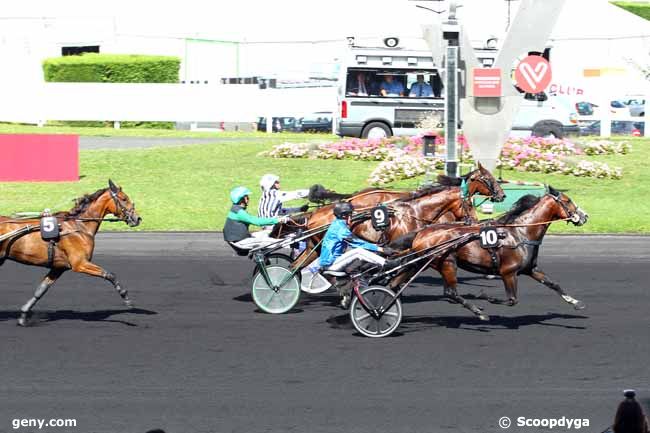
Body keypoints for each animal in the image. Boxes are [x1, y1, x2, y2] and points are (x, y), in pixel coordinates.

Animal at [0, 178, 142, 324]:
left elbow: (41, 290)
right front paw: (126, 299)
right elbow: (110, 274)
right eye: (124, 198)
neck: (79, 226)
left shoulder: (58, 268)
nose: (137, 219)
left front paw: (23, 315)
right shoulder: (80, 264)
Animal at [400, 184, 588, 318]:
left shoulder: (530, 269)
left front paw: (576, 302)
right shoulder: (508, 272)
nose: (584, 216)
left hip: (424, 263)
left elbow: (553, 284)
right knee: (450, 292)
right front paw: (485, 296)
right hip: (447, 262)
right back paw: (478, 312)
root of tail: (421, 232)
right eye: (568, 200)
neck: (520, 233)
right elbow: (512, 300)